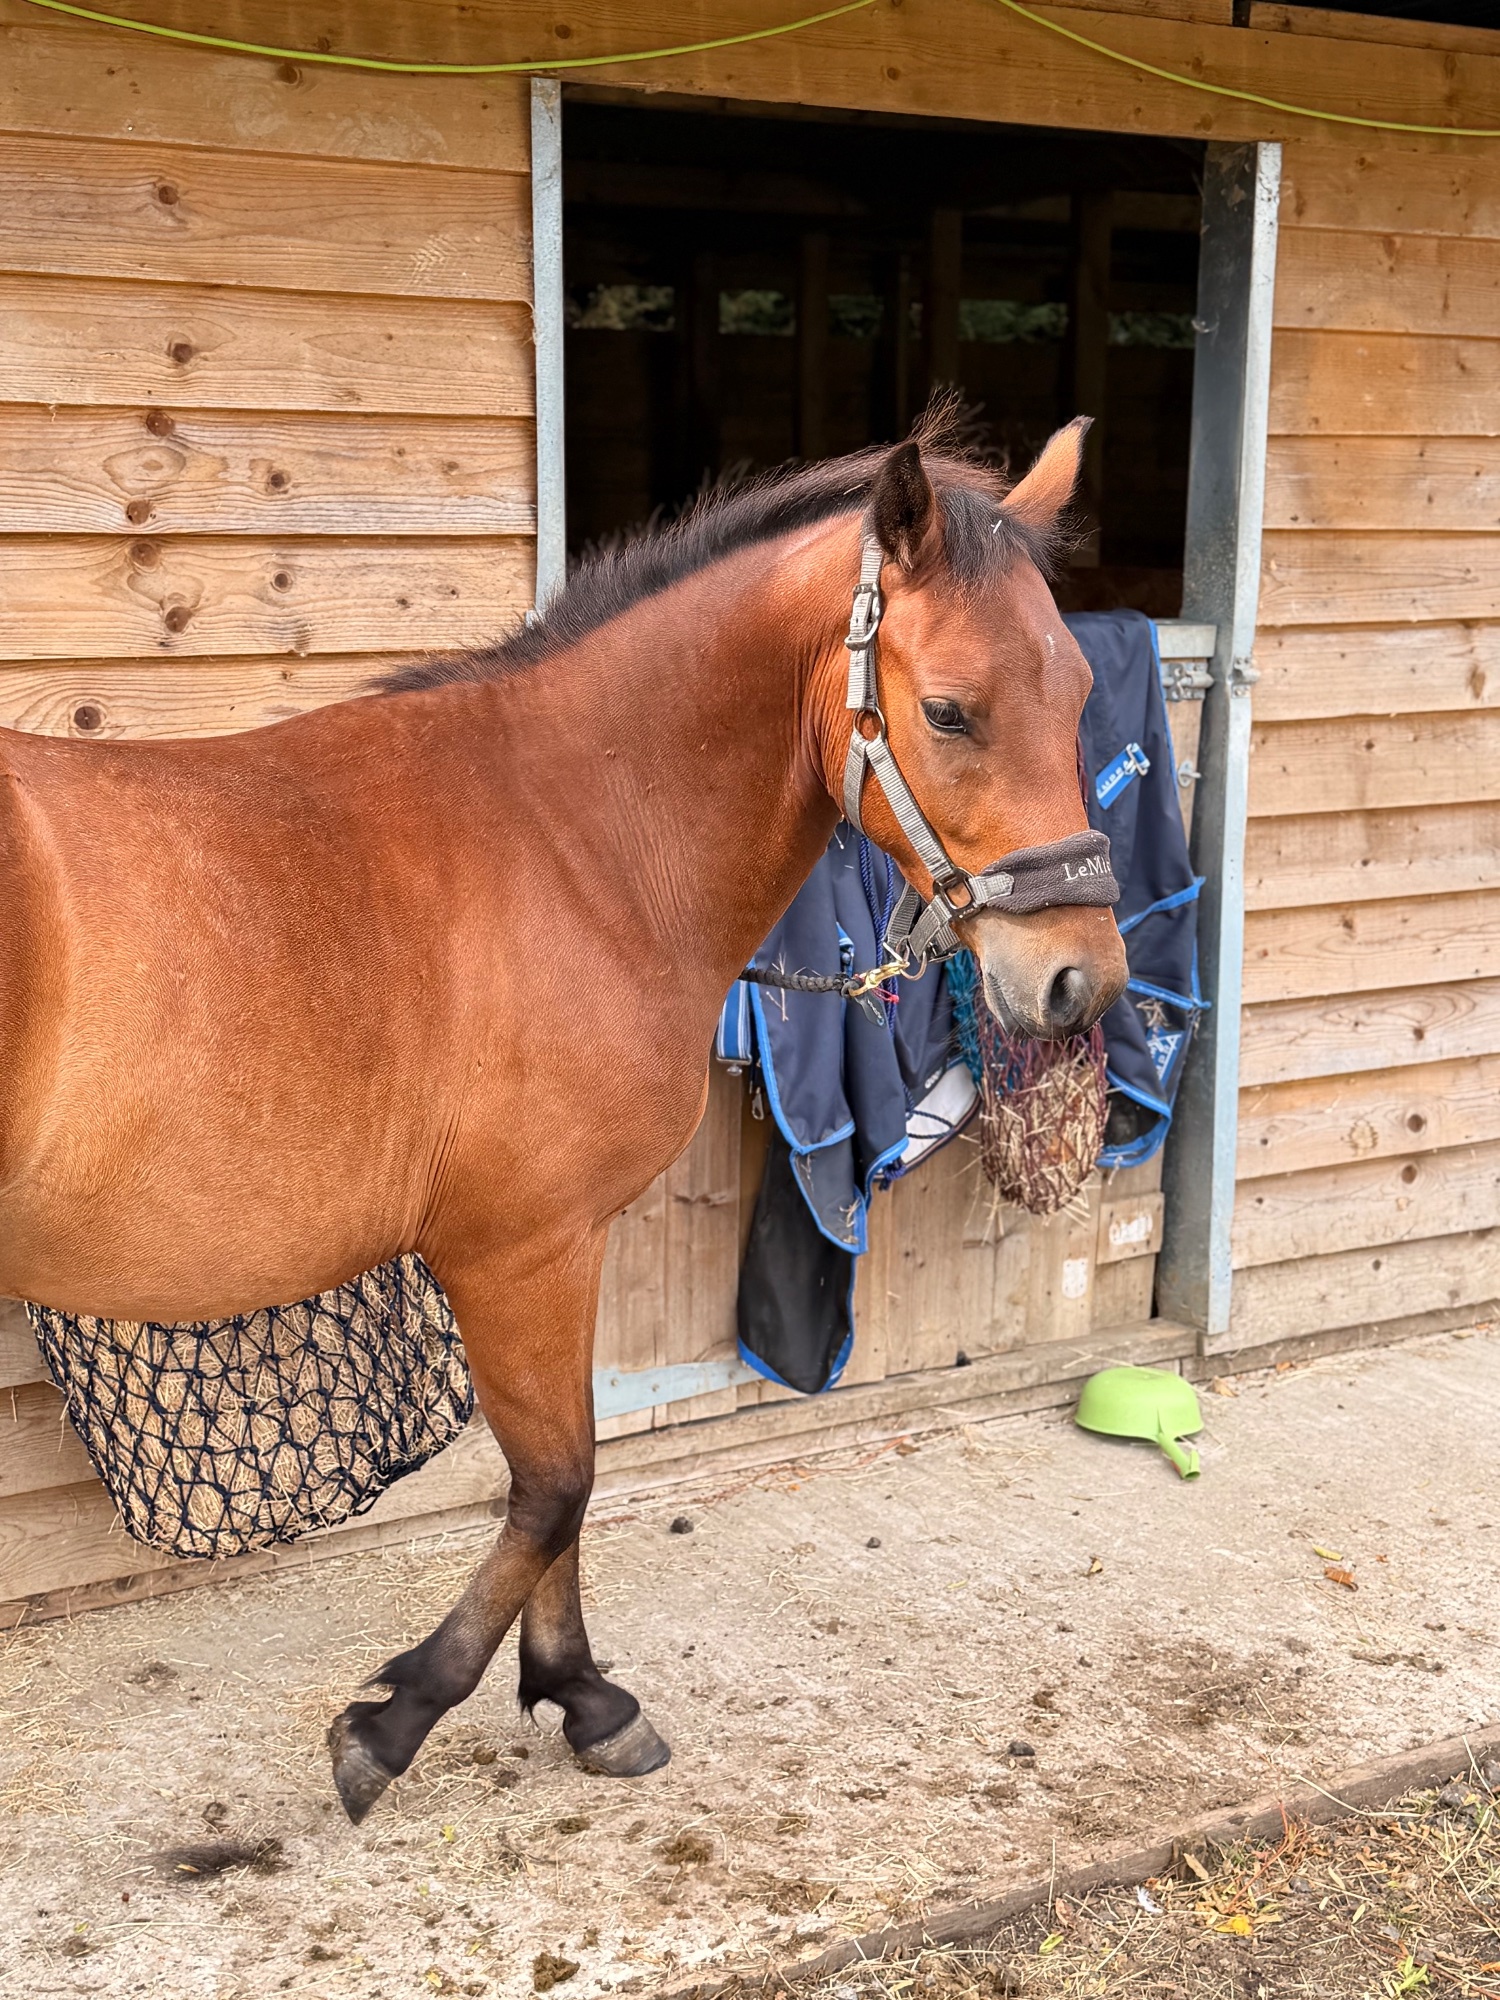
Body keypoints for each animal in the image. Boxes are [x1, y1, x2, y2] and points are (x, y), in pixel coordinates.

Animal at [0, 412, 1127, 1820]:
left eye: (1078, 693)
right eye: (949, 709)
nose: (1082, 980)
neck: (571, 838)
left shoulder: (565, 1243)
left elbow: (569, 1480)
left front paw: (580, 1693)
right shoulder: (516, 1248)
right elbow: (556, 1483)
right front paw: (398, 1718)